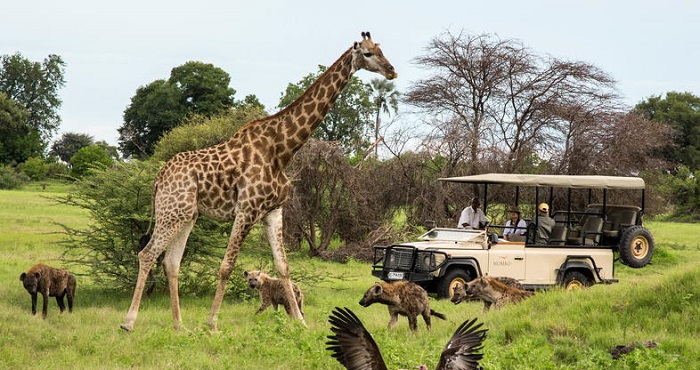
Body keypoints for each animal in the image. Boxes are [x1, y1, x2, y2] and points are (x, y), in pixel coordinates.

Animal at [119, 32, 394, 332]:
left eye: (382, 50)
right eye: (367, 53)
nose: (392, 71)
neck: (281, 150)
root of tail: (159, 177)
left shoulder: (273, 211)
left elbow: (283, 266)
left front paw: (300, 322)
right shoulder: (246, 209)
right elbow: (227, 266)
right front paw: (212, 323)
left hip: (187, 215)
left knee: (170, 262)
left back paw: (180, 326)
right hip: (172, 211)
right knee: (147, 254)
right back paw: (129, 322)